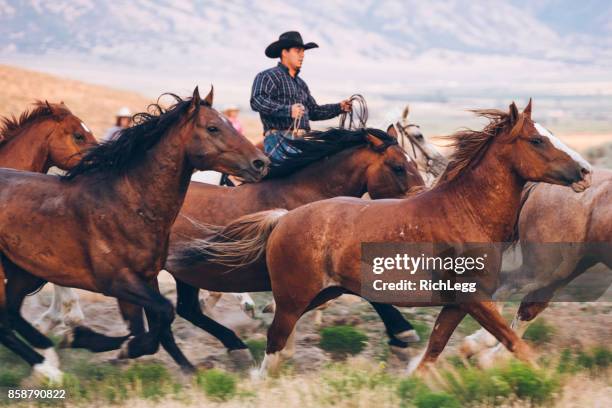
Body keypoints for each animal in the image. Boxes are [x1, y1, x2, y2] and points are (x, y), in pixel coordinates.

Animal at [0, 87, 268, 382]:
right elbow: (161, 318)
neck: (127, 203)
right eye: (213, 127)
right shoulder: (117, 282)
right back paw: (49, 369)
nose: (261, 163)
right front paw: (90, 340)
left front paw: (189, 369)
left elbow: (156, 328)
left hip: (23, 273)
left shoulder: (145, 279)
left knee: (11, 315)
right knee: (5, 322)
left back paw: (48, 356)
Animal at [62, 123, 426, 364]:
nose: (420, 200)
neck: (307, 199)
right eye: (398, 166)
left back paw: (230, 348)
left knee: (187, 310)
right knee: (168, 317)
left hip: (185, 273)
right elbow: (367, 295)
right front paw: (403, 334)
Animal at [176, 99, 592, 376]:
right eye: (537, 141)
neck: (465, 211)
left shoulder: (459, 303)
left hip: (317, 293)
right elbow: (515, 343)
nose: (586, 171)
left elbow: (436, 346)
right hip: (295, 297)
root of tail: (283, 219)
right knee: (269, 343)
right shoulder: (474, 298)